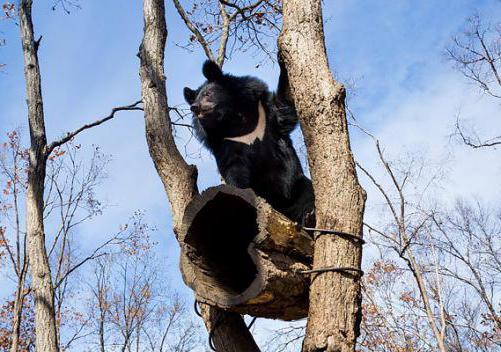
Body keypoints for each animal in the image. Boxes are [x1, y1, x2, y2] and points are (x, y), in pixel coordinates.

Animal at [184, 60, 314, 224]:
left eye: (208, 94)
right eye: (196, 100)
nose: (194, 107)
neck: (232, 120)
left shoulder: (265, 113)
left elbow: (284, 107)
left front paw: (282, 61)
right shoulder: (226, 143)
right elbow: (234, 168)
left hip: (294, 186)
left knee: (308, 193)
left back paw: (308, 217)